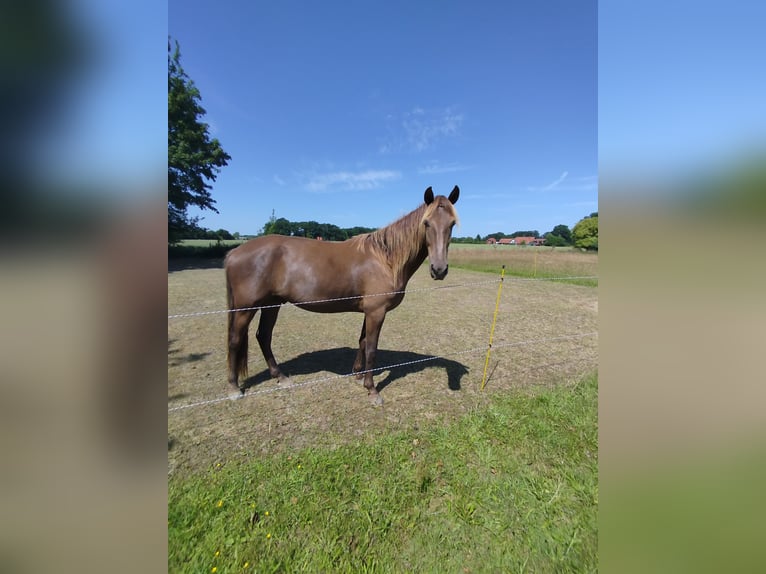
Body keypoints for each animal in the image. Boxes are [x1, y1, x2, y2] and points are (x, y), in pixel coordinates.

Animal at [224, 185, 460, 406]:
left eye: (452, 224)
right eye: (426, 223)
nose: (439, 270)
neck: (385, 259)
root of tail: (234, 252)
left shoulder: (369, 311)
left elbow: (363, 341)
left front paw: (358, 376)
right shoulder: (377, 312)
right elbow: (372, 349)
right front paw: (372, 391)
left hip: (272, 304)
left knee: (263, 336)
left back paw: (281, 378)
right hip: (246, 308)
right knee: (236, 340)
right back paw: (234, 388)